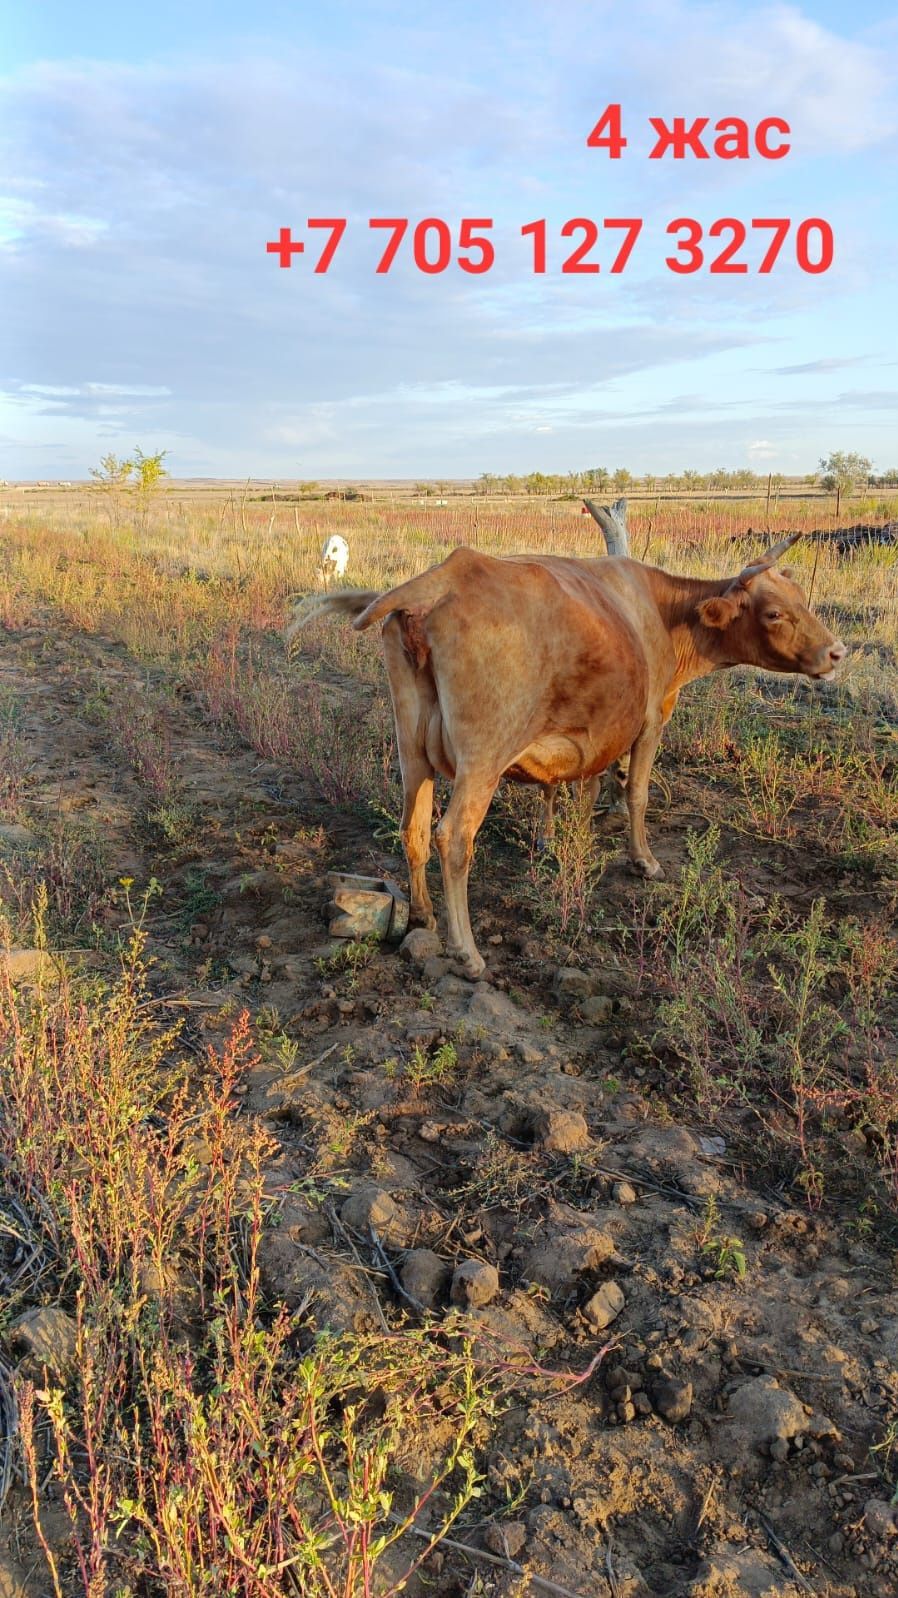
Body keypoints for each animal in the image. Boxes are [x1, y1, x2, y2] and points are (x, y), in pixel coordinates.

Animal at [297, 536, 843, 977]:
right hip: (483, 757)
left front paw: (558, 841)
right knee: (453, 837)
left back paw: (421, 915)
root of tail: (447, 575)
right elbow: (636, 793)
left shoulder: (588, 733)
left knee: (413, 828)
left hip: (412, 748)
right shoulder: (650, 720)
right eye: (774, 613)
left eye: (803, 600)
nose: (837, 653)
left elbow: (576, 786)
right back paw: (467, 953)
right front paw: (643, 861)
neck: (660, 612)